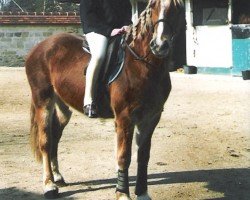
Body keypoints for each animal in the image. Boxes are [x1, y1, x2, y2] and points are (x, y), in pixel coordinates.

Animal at [25, 0, 185, 199]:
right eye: (153, 7)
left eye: (178, 8)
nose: (159, 46)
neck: (143, 65)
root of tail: (40, 46)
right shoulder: (125, 118)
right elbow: (124, 156)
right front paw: (122, 193)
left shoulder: (151, 117)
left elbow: (143, 156)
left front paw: (142, 193)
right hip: (43, 101)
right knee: (45, 141)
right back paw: (49, 185)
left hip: (62, 107)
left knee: (55, 135)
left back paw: (57, 176)